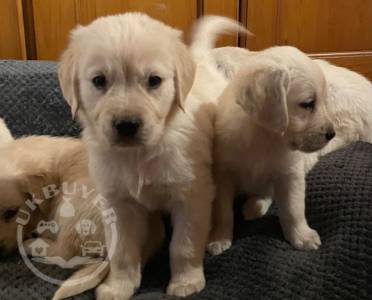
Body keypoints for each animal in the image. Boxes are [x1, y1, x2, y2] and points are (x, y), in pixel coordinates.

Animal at [57, 12, 244, 298]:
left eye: (154, 80)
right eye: (99, 80)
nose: (126, 125)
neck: (138, 155)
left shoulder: (192, 196)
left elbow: (184, 244)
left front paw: (186, 282)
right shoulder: (118, 203)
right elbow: (121, 252)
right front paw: (118, 286)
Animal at [208, 47, 336, 255]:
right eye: (308, 103)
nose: (332, 134)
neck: (265, 137)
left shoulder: (290, 174)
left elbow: (293, 209)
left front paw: (302, 236)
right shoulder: (223, 175)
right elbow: (223, 211)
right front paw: (219, 238)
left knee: (268, 193)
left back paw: (255, 206)